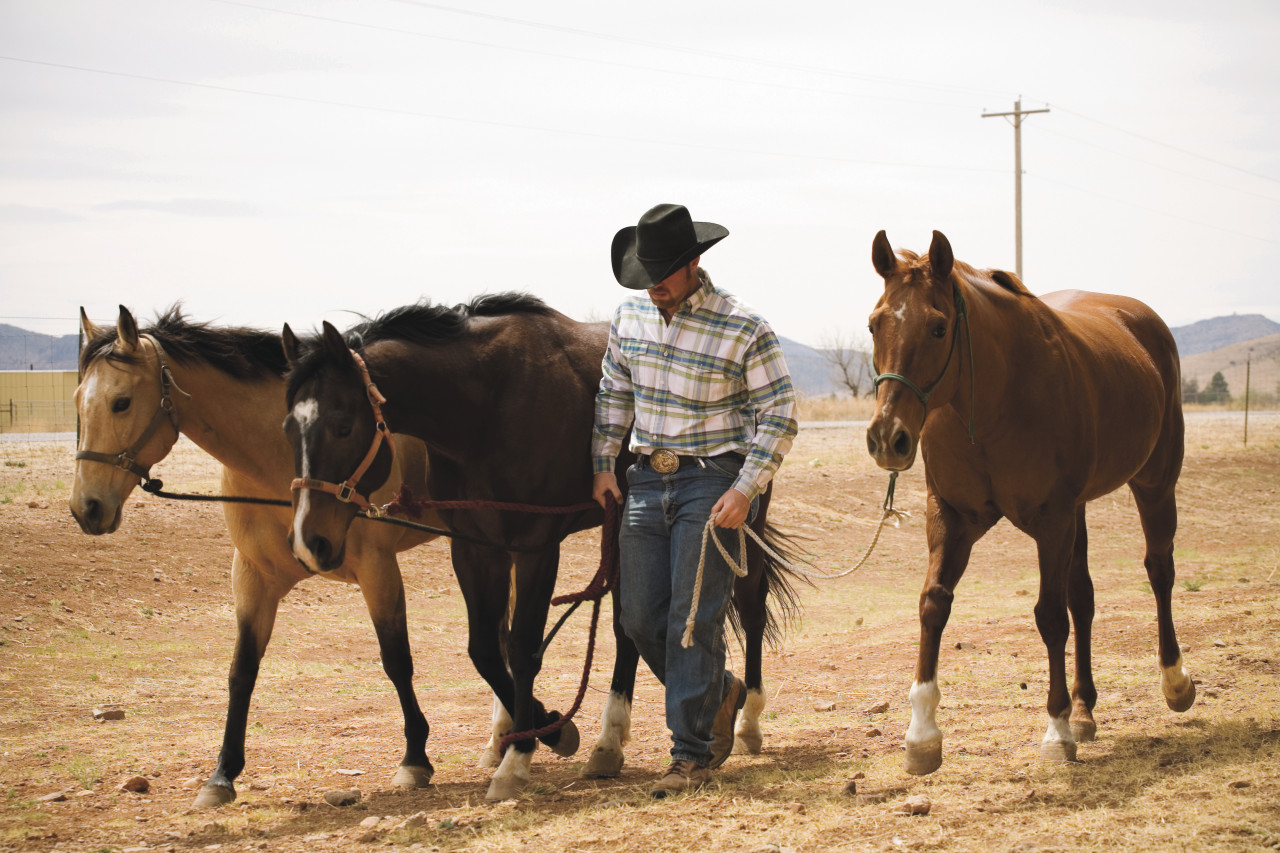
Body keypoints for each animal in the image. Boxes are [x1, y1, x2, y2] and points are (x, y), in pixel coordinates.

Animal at [72, 306, 450, 804]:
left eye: (121, 402)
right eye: (79, 401)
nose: (87, 507)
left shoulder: (378, 570)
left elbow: (396, 660)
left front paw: (414, 759)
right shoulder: (252, 577)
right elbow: (241, 671)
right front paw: (222, 774)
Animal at [280, 290, 798, 799]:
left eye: (343, 426)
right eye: (288, 428)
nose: (309, 543)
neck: (486, 408)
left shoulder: (536, 546)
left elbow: (523, 646)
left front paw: (522, 754)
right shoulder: (475, 548)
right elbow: (486, 649)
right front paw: (547, 726)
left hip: (740, 522)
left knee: (750, 608)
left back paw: (744, 721)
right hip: (624, 534)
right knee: (628, 628)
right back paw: (610, 745)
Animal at [865, 229, 1192, 773]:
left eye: (938, 327)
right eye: (874, 324)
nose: (888, 438)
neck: (993, 402)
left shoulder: (1051, 520)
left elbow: (1050, 617)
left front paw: (1056, 729)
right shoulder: (952, 517)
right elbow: (933, 604)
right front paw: (922, 735)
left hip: (1154, 485)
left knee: (1158, 571)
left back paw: (1174, 682)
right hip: (1081, 510)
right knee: (1084, 597)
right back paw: (1085, 709)